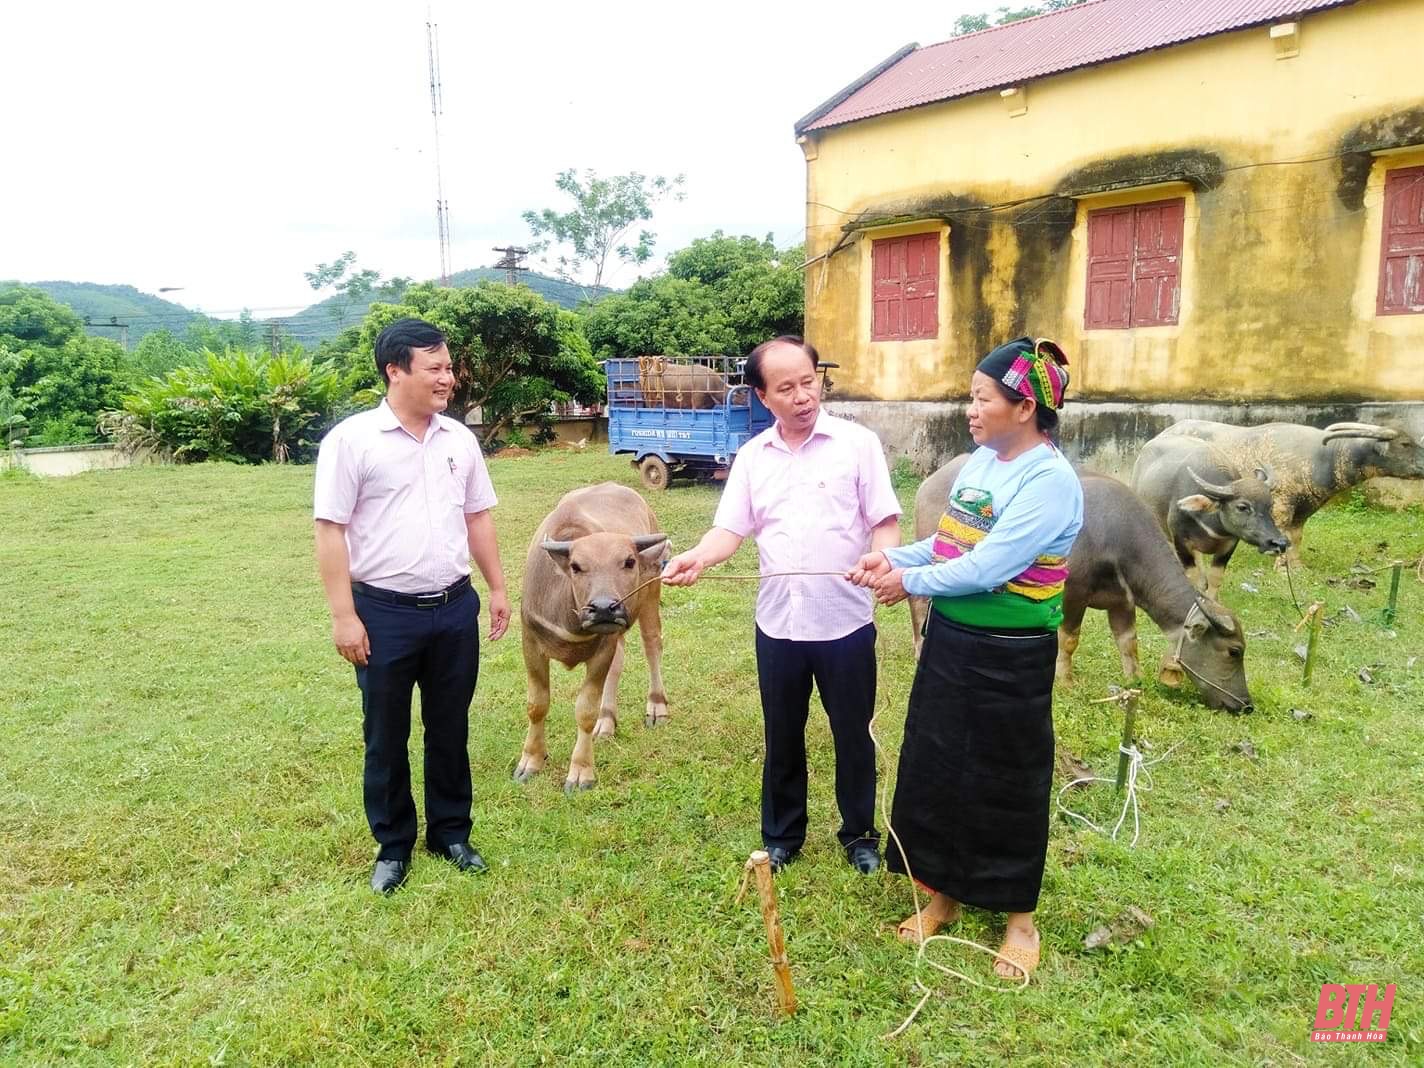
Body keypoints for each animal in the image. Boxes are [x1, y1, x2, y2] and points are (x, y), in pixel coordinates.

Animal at [515, 484, 669, 797]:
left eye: (629, 562)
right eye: (576, 566)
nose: (604, 608)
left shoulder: (601, 650)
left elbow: (585, 710)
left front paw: (581, 772)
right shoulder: (531, 644)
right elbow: (537, 704)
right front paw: (531, 760)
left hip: (651, 593)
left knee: (652, 645)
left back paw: (656, 706)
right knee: (619, 664)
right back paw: (606, 720)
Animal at [905, 455, 1253, 714]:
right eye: (1234, 651)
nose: (1245, 704)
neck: (1117, 537)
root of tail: (932, 480)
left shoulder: (1122, 601)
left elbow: (1128, 642)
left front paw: (1135, 680)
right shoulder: (1074, 593)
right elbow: (1070, 638)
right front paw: (1066, 681)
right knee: (919, 601)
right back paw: (920, 648)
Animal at [1133, 435, 1292, 603]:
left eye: (1270, 505)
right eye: (1242, 507)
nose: (1280, 543)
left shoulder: (1229, 544)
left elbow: (1215, 577)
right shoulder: (1180, 541)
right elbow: (1192, 577)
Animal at [1156, 421, 1424, 569]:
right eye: (1405, 444)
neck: (1321, 457)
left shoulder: (1303, 509)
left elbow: (1296, 537)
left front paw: (1296, 566)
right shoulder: (1283, 505)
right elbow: (1285, 534)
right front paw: (1282, 565)